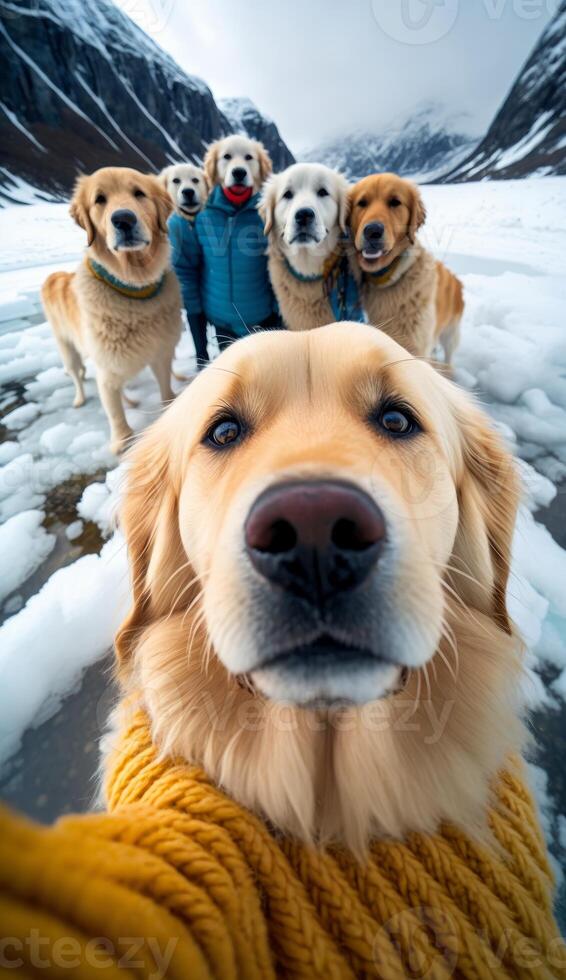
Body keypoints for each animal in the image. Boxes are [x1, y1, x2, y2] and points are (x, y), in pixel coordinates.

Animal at [43, 167, 183, 456]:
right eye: (99, 199)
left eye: (139, 193)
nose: (123, 219)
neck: (134, 288)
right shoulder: (106, 365)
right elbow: (113, 410)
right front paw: (122, 440)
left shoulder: (161, 351)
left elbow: (164, 386)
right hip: (67, 348)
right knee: (77, 375)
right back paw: (79, 399)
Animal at [350, 174, 466, 362]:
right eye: (362, 203)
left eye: (395, 202)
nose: (372, 231)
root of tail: (456, 279)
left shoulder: (416, 345)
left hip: (451, 332)